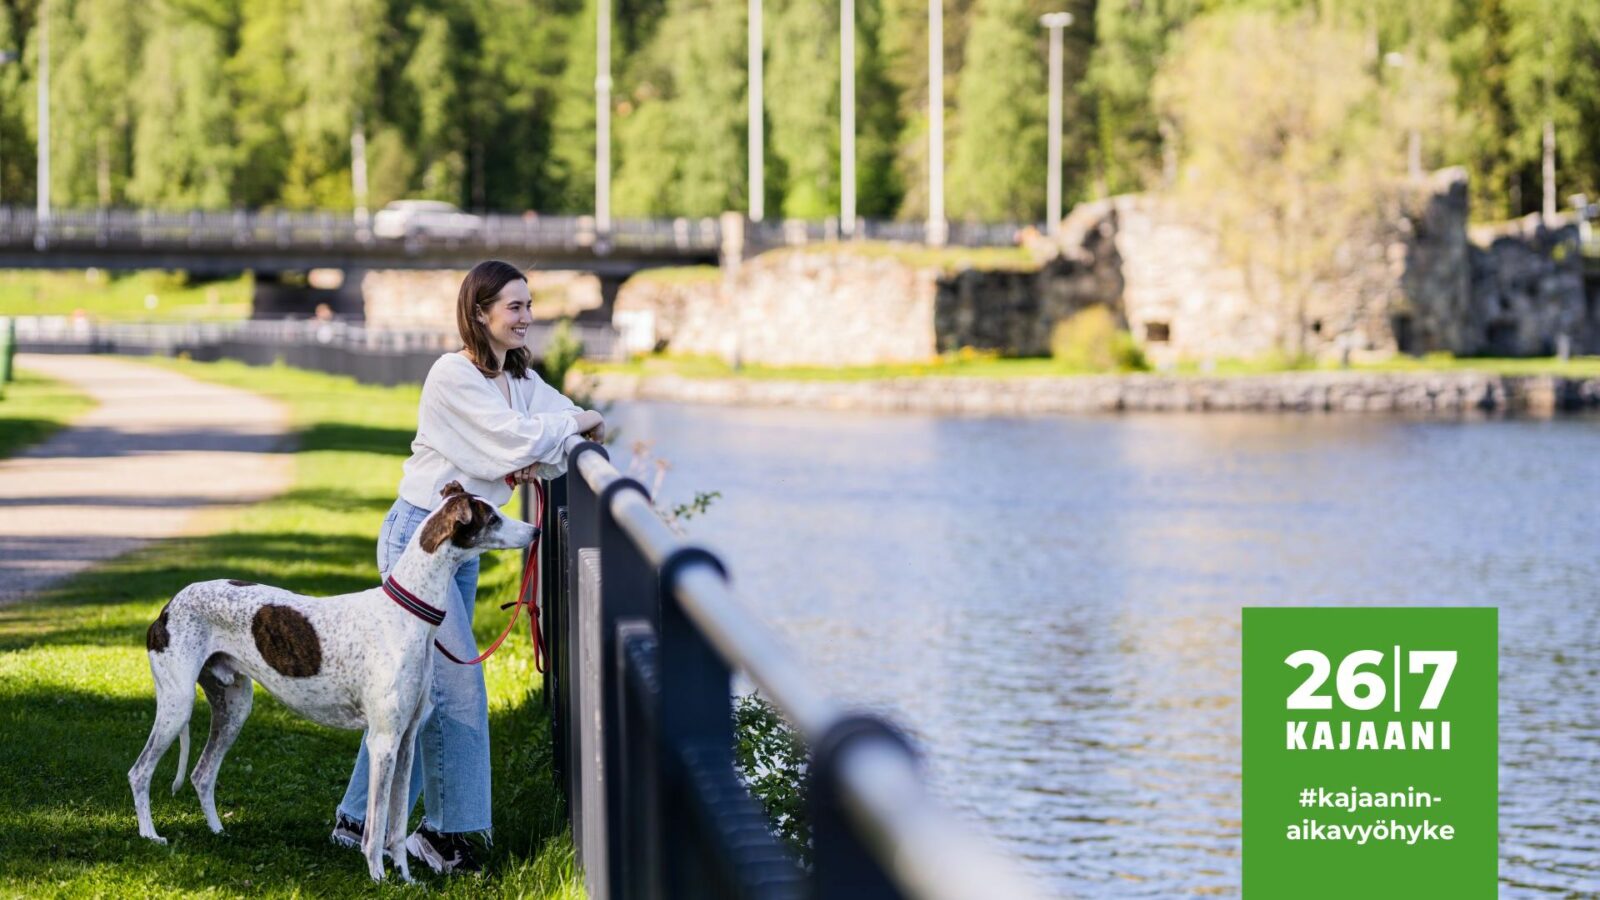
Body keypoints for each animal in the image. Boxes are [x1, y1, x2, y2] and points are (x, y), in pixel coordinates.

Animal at [131, 480, 531, 877]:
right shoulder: (383, 740)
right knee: (140, 772)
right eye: (492, 518)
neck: (405, 612)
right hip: (178, 706)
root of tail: (168, 607)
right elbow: (377, 825)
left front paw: (405, 878)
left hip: (234, 708)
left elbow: (397, 824)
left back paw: (218, 831)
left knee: (201, 773)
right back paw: (150, 836)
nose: (535, 531)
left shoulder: (405, 740)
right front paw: (378, 877)